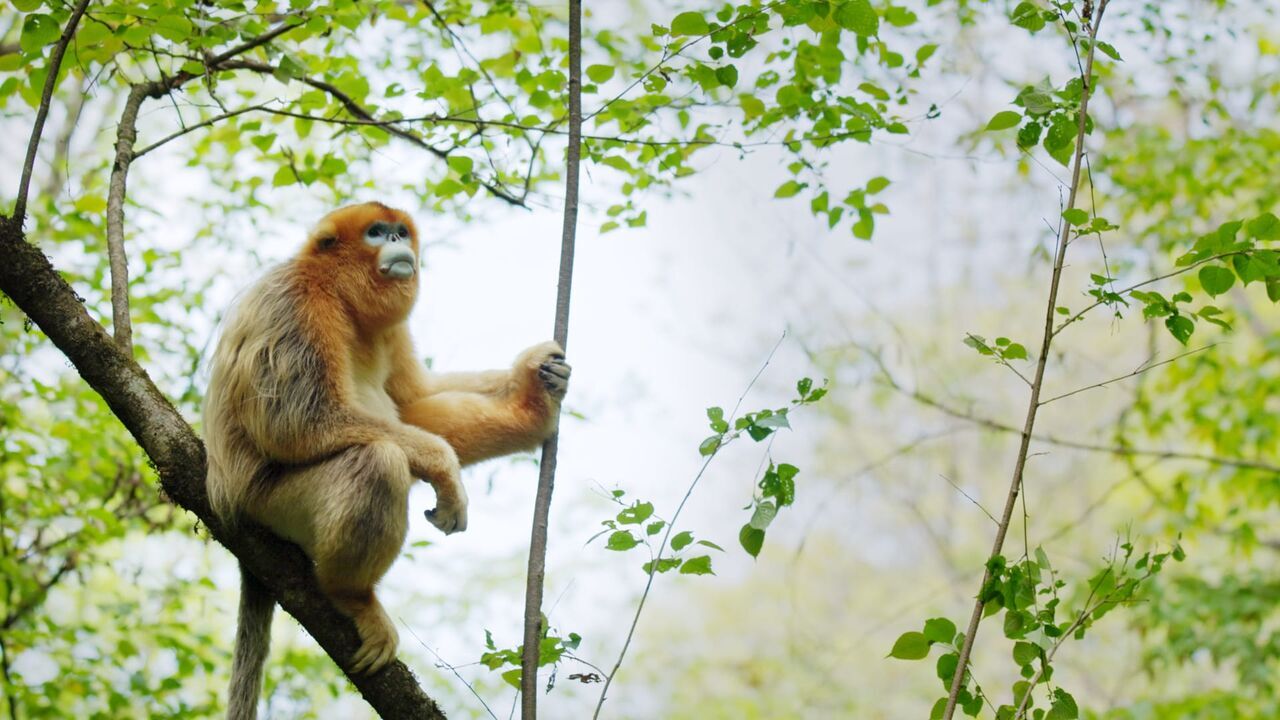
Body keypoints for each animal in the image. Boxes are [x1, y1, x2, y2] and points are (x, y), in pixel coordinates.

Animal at [202, 202, 570, 720]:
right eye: (377, 233)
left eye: (399, 232)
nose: (397, 244)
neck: (338, 293)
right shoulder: (295, 301)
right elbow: (295, 423)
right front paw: (444, 469)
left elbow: (416, 403)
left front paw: (534, 392)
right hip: (266, 505)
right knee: (377, 460)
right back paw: (351, 596)